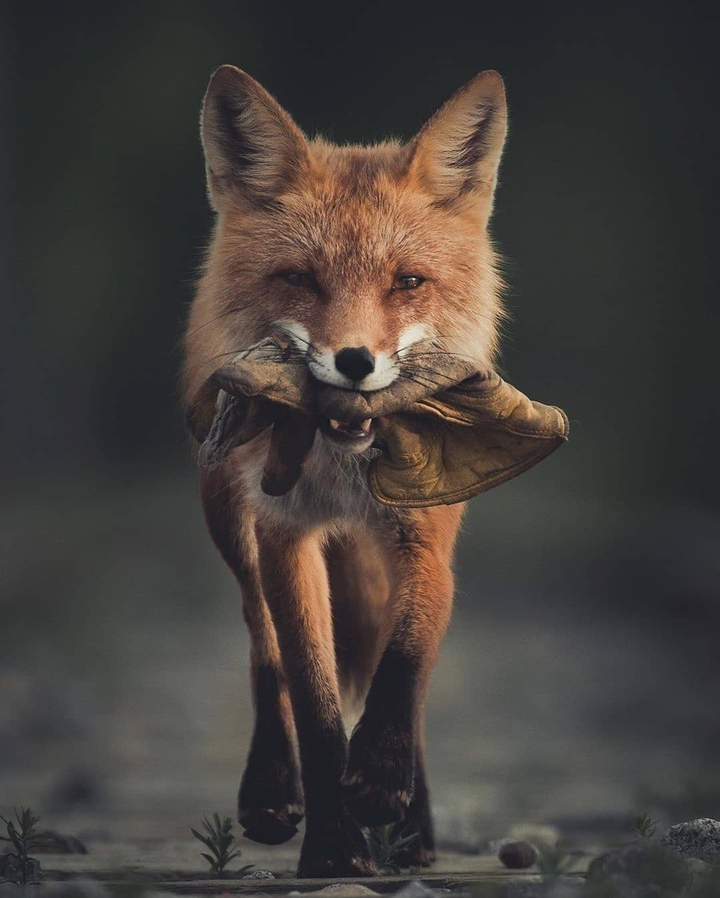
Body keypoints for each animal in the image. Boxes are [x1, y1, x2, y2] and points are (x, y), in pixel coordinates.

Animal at [183, 65, 508, 877]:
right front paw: (334, 845)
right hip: (227, 516)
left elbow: (410, 653)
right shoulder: (284, 534)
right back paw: (272, 789)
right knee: (261, 641)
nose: (355, 363)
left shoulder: (426, 532)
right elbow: (315, 698)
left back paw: (414, 829)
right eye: (300, 278)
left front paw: (386, 784)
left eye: (408, 282)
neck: (342, 473)